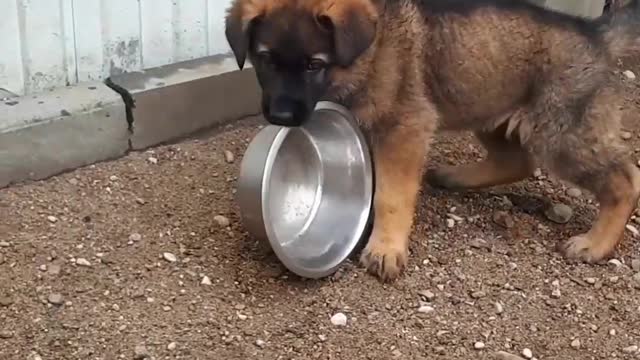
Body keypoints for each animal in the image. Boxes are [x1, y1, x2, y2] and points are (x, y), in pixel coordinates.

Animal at [224, 0, 640, 282]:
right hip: (484, 102)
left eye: (314, 65)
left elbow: (391, 194)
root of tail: (596, 35)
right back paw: (455, 177)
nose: (281, 117)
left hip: (562, 134)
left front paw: (386, 247)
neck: (366, 52)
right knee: (516, 161)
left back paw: (596, 243)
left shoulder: (405, 126)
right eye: (265, 60)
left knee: (624, 177)